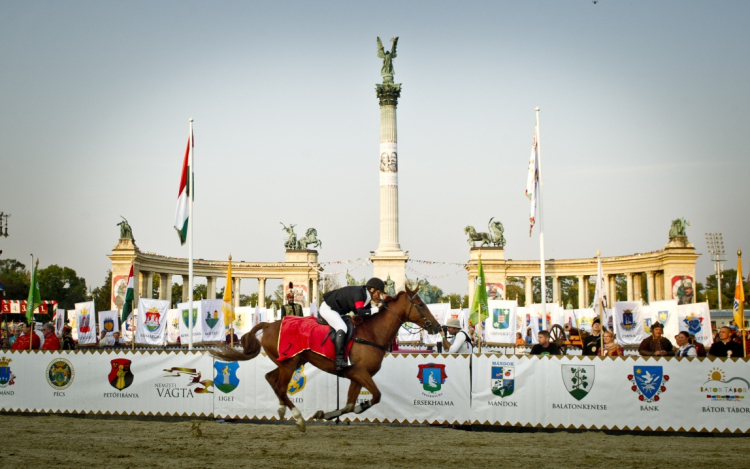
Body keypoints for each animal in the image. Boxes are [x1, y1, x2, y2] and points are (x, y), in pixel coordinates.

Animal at [209, 284, 444, 430]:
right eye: (421, 305)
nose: (437, 327)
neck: (372, 333)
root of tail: (268, 324)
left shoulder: (355, 376)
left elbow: (349, 405)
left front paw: (327, 414)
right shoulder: (360, 372)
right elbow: (376, 396)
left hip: (292, 361)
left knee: (271, 379)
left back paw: (283, 409)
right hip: (290, 363)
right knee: (280, 386)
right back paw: (298, 419)